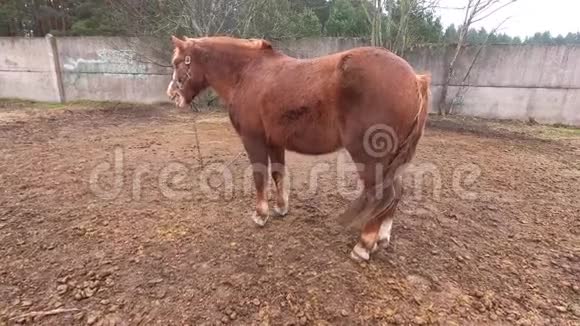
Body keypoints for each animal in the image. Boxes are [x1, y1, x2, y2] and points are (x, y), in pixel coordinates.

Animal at [165, 35, 428, 262]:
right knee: (395, 193)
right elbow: (277, 174)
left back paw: (363, 246)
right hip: (392, 160)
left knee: (382, 194)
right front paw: (281, 208)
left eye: (179, 62)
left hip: (372, 156)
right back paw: (381, 238)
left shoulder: (253, 139)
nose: (172, 95)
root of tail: (415, 79)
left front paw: (260, 215)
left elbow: (260, 177)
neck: (247, 73)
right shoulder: (274, 142)